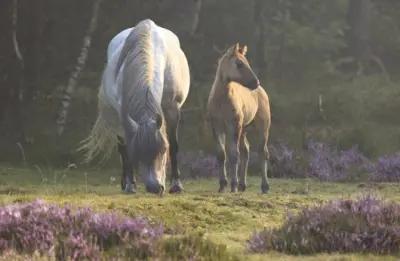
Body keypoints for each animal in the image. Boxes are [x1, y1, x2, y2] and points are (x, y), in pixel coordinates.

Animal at [81, 19, 191, 193]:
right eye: (138, 152)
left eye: (163, 150)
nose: (155, 187)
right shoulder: (123, 115)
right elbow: (126, 149)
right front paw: (130, 185)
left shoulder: (172, 109)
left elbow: (174, 145)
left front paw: (176, 185)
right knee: (121, 148)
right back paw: (125, 182)